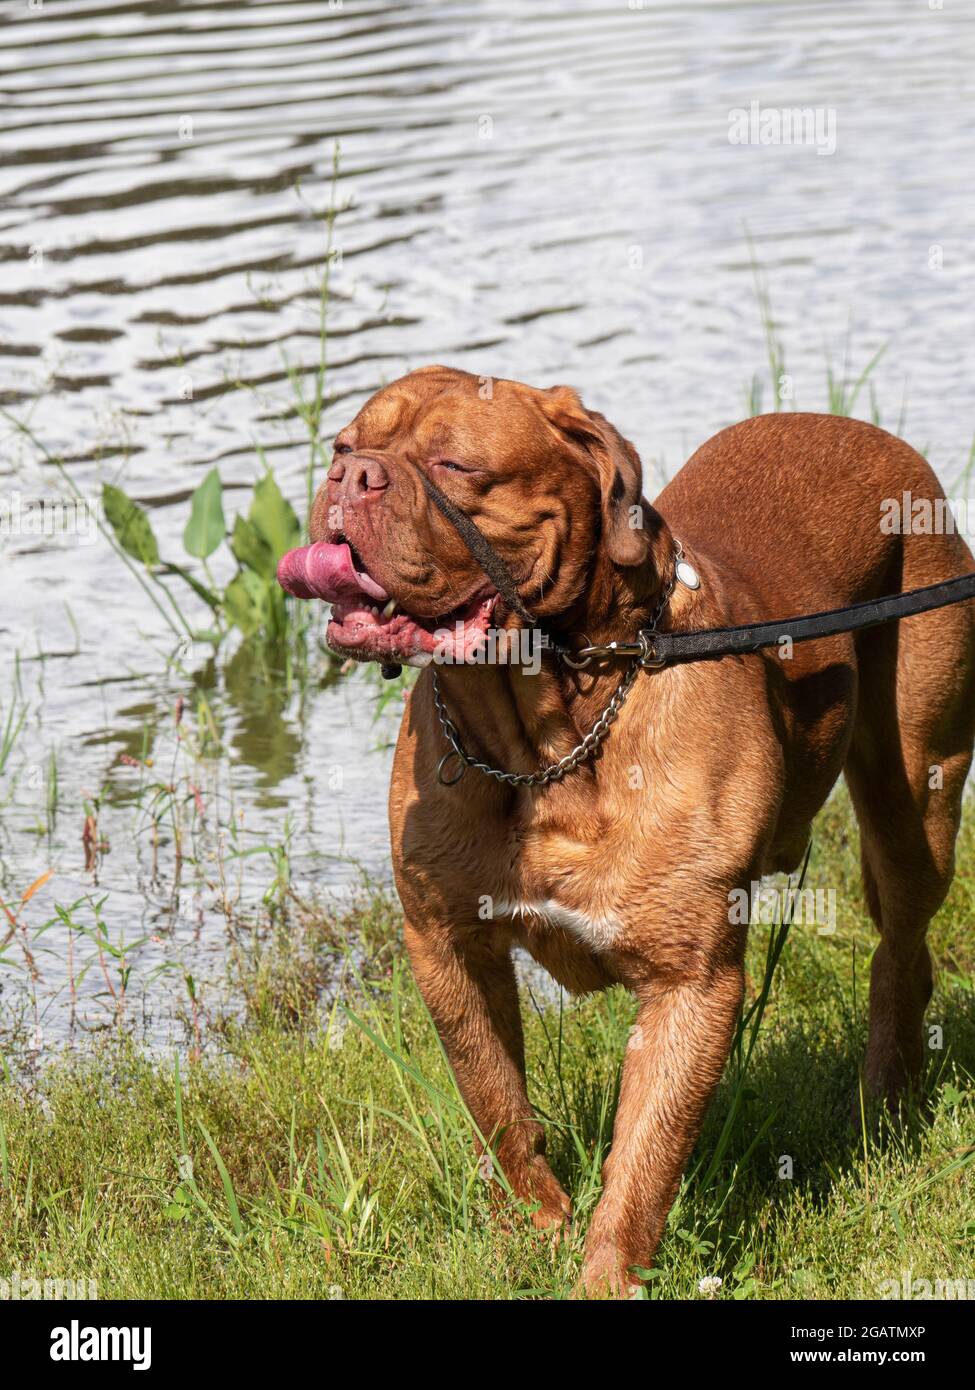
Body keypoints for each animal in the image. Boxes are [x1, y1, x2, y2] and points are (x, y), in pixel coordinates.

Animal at [278, 366, 968, 1289]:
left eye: (456, 464)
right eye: (345, 444)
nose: (349, 478)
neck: (545, 737)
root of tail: (864, 433)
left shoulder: (690, 983)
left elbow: (645, 1154)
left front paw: (604, 1276)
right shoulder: (446, 946)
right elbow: (494, 1097)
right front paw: (535, 1228)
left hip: (915, 793)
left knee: (899, 945)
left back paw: (883, 1105)